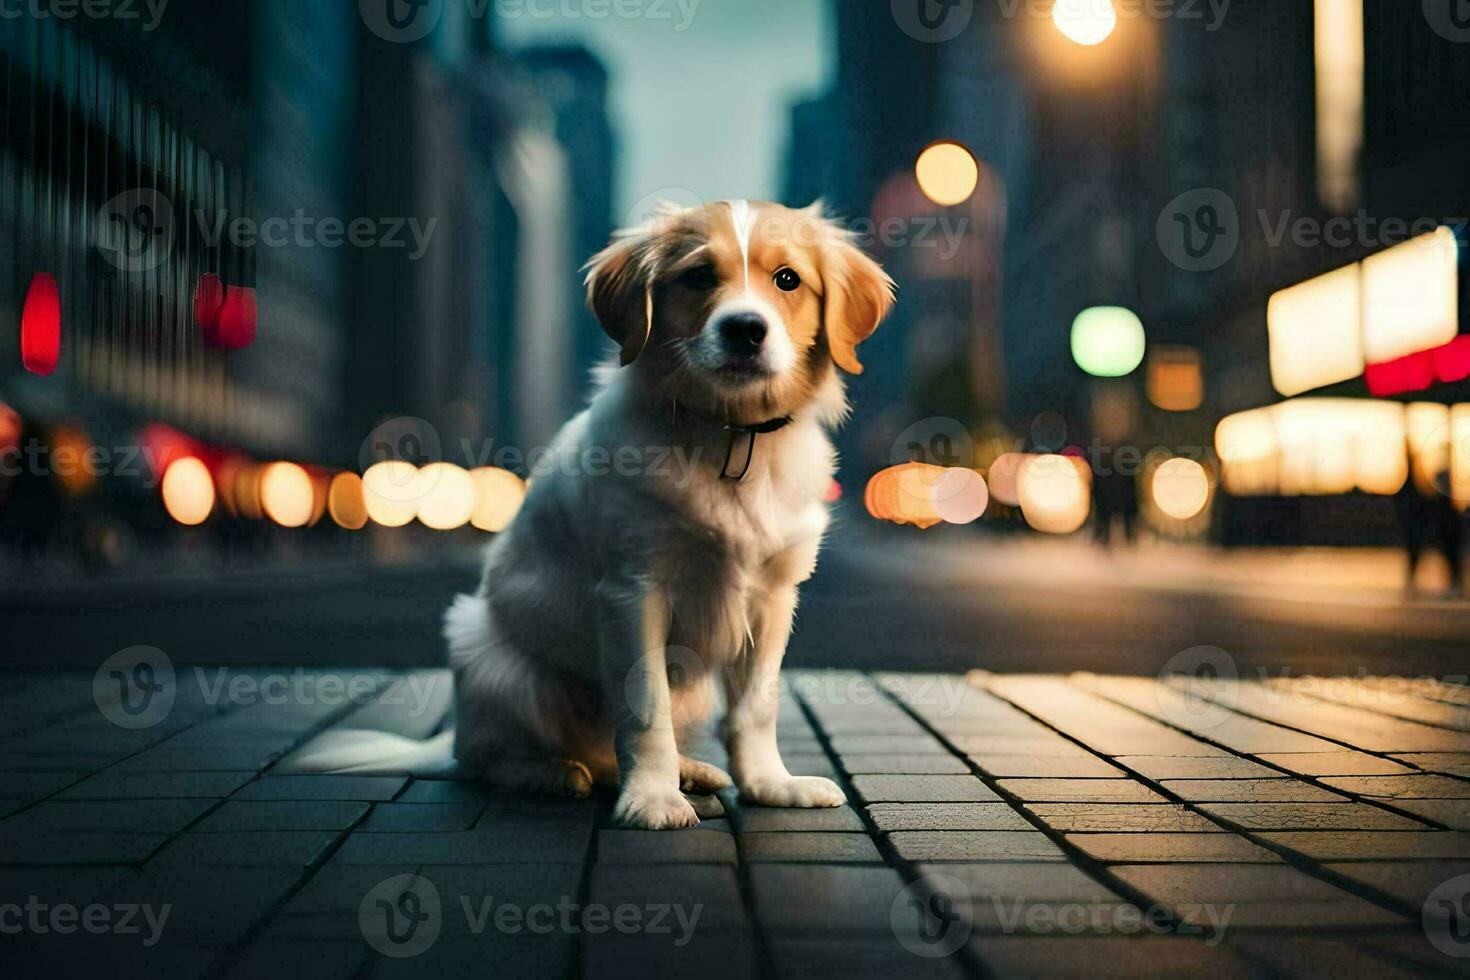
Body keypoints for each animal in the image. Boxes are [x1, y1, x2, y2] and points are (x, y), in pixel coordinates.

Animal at [441, 202, 887, 834]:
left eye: (788, 279)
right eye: (699, 276)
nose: (745, 329)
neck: (730, 433)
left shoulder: (775, 596)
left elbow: (757, 705)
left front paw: (770, 785)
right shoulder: (633, 590)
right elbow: (645, 707)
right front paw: (652, 798)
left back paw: (691, 771)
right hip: (489, 657)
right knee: (485, 755)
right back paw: (553, 773)